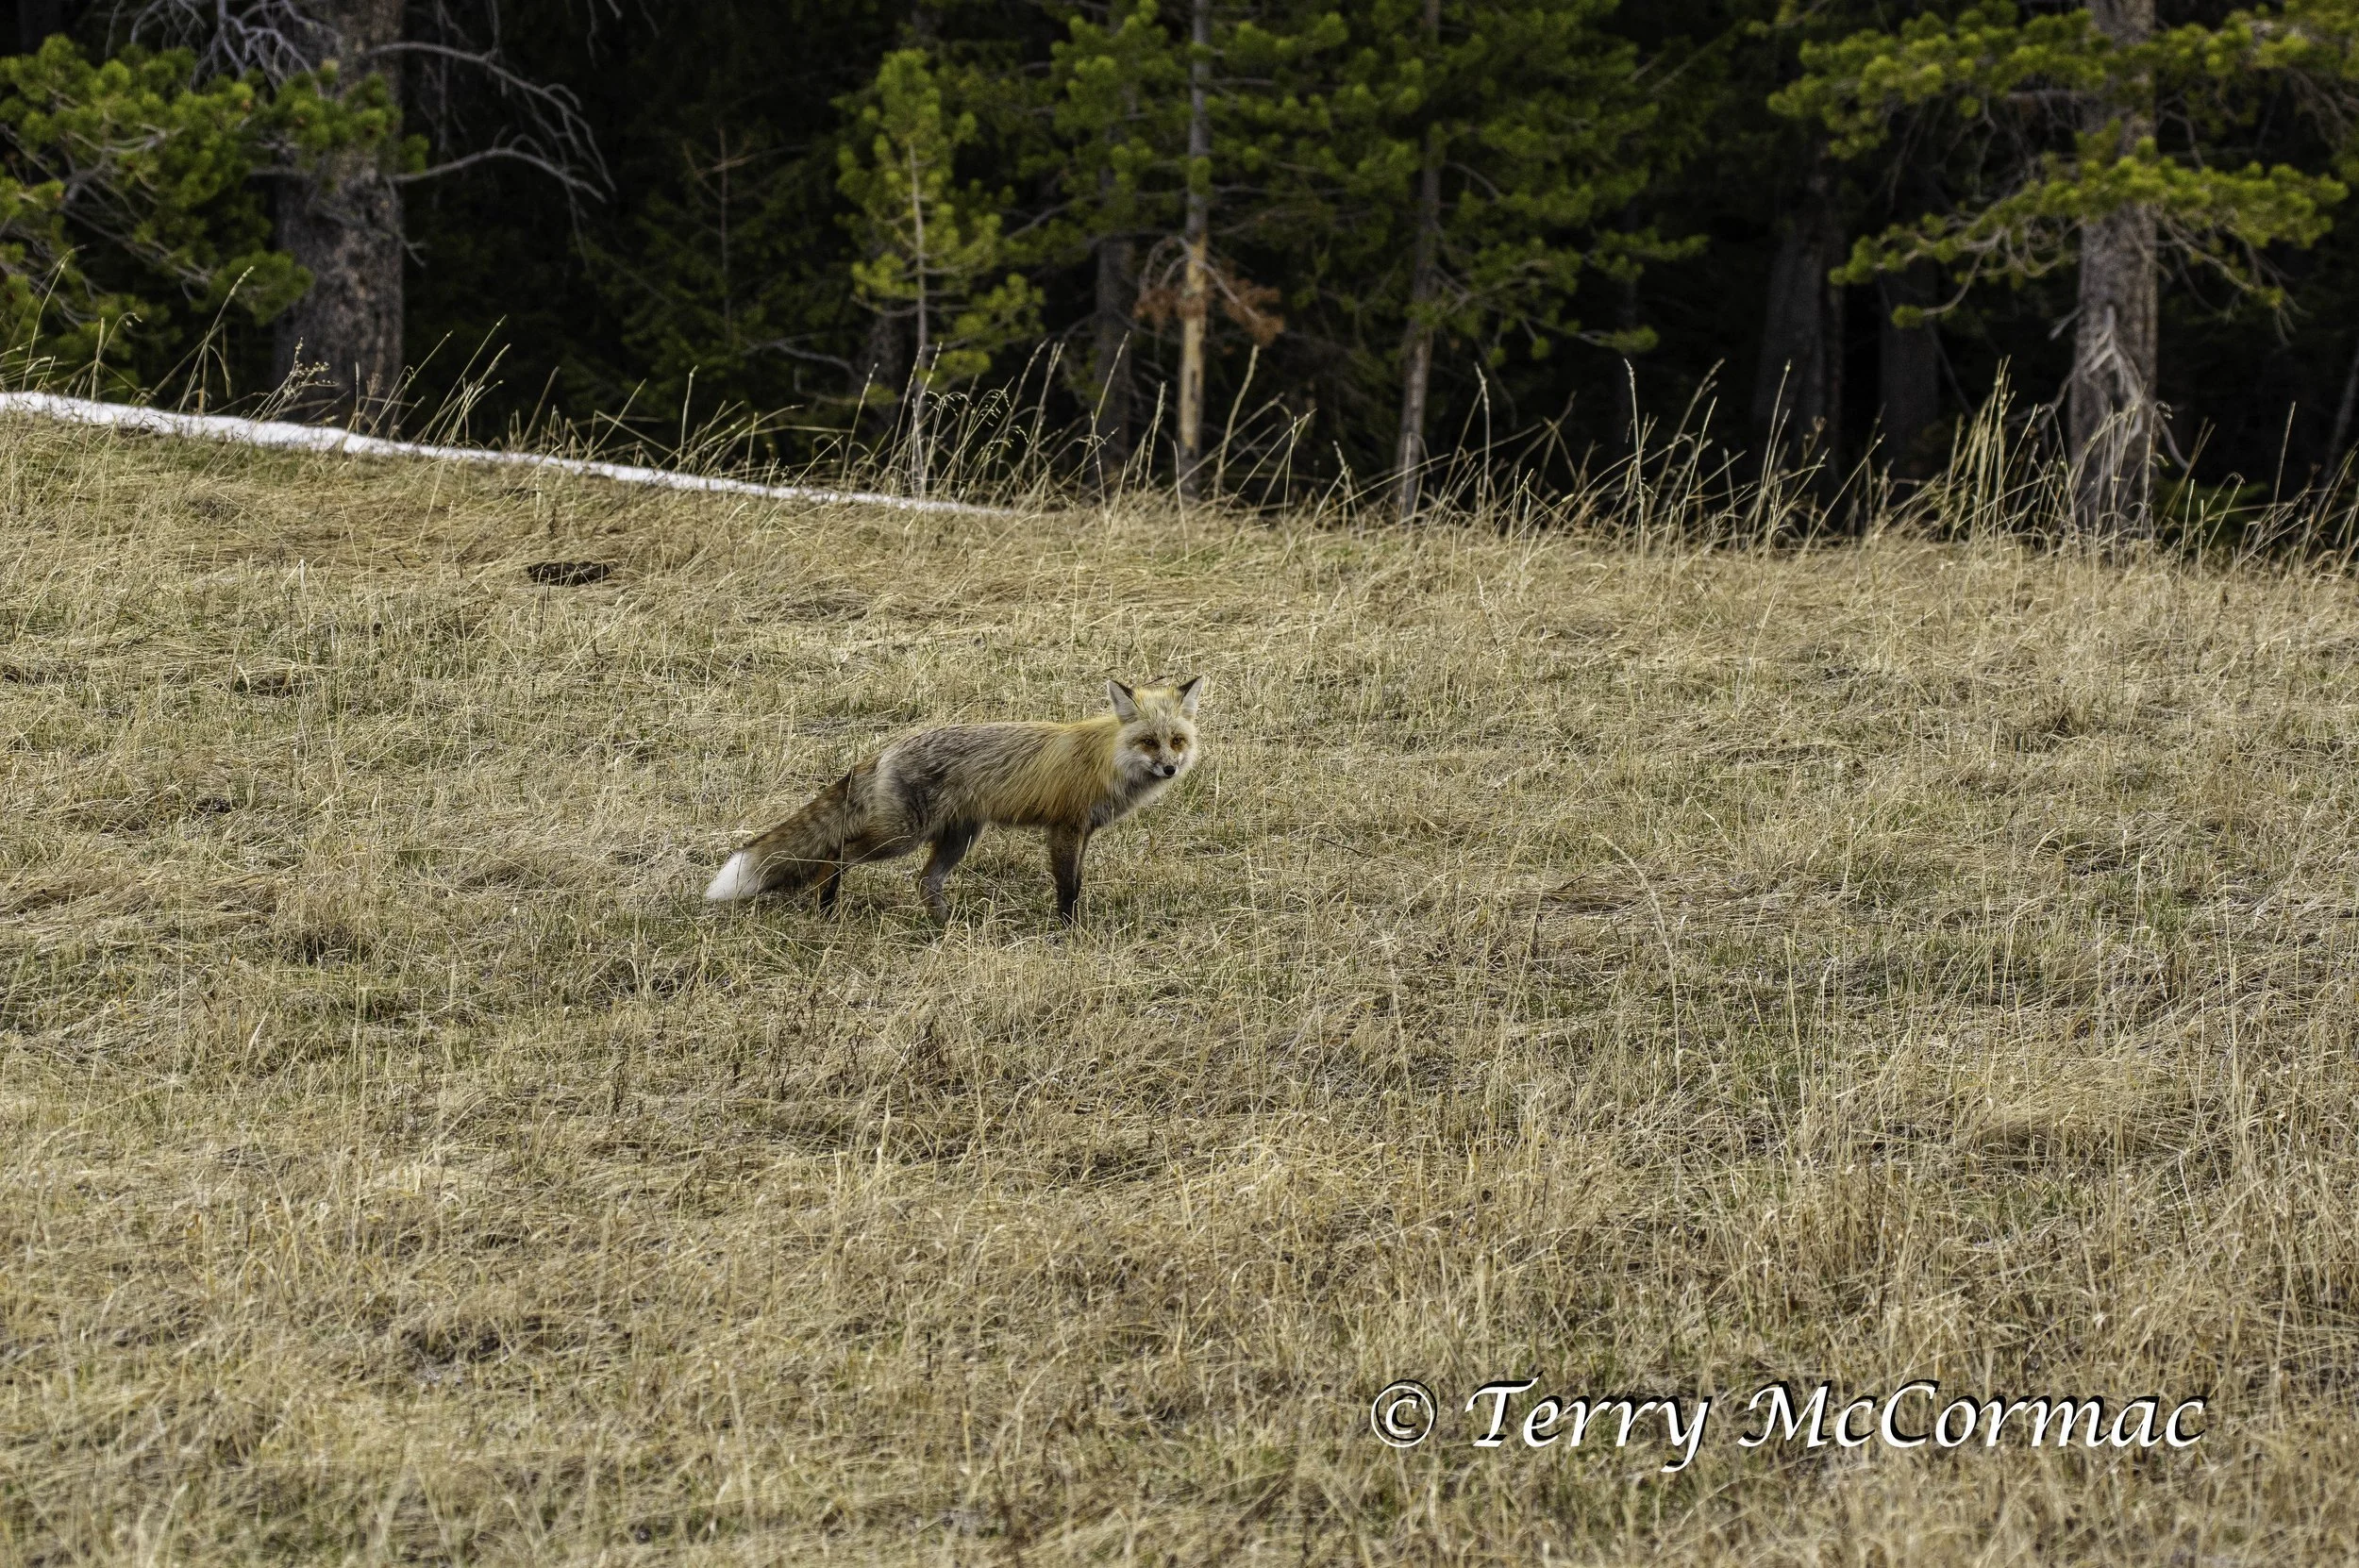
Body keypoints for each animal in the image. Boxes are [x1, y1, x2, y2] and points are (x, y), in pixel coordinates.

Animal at [703, 676, 1205, 922]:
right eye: (1148, 742)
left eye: (1176, 741)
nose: (1169, 769)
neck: (1106, 759)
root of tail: (886, 749)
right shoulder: (1064, 829)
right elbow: (1068, 888)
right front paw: (1067, 933)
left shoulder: (1084, 832)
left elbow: (1077, 884)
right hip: (901, 837)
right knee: (839, 852)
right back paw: (826, 906)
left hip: (957, 839)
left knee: (926, 881)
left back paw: (943, 927)